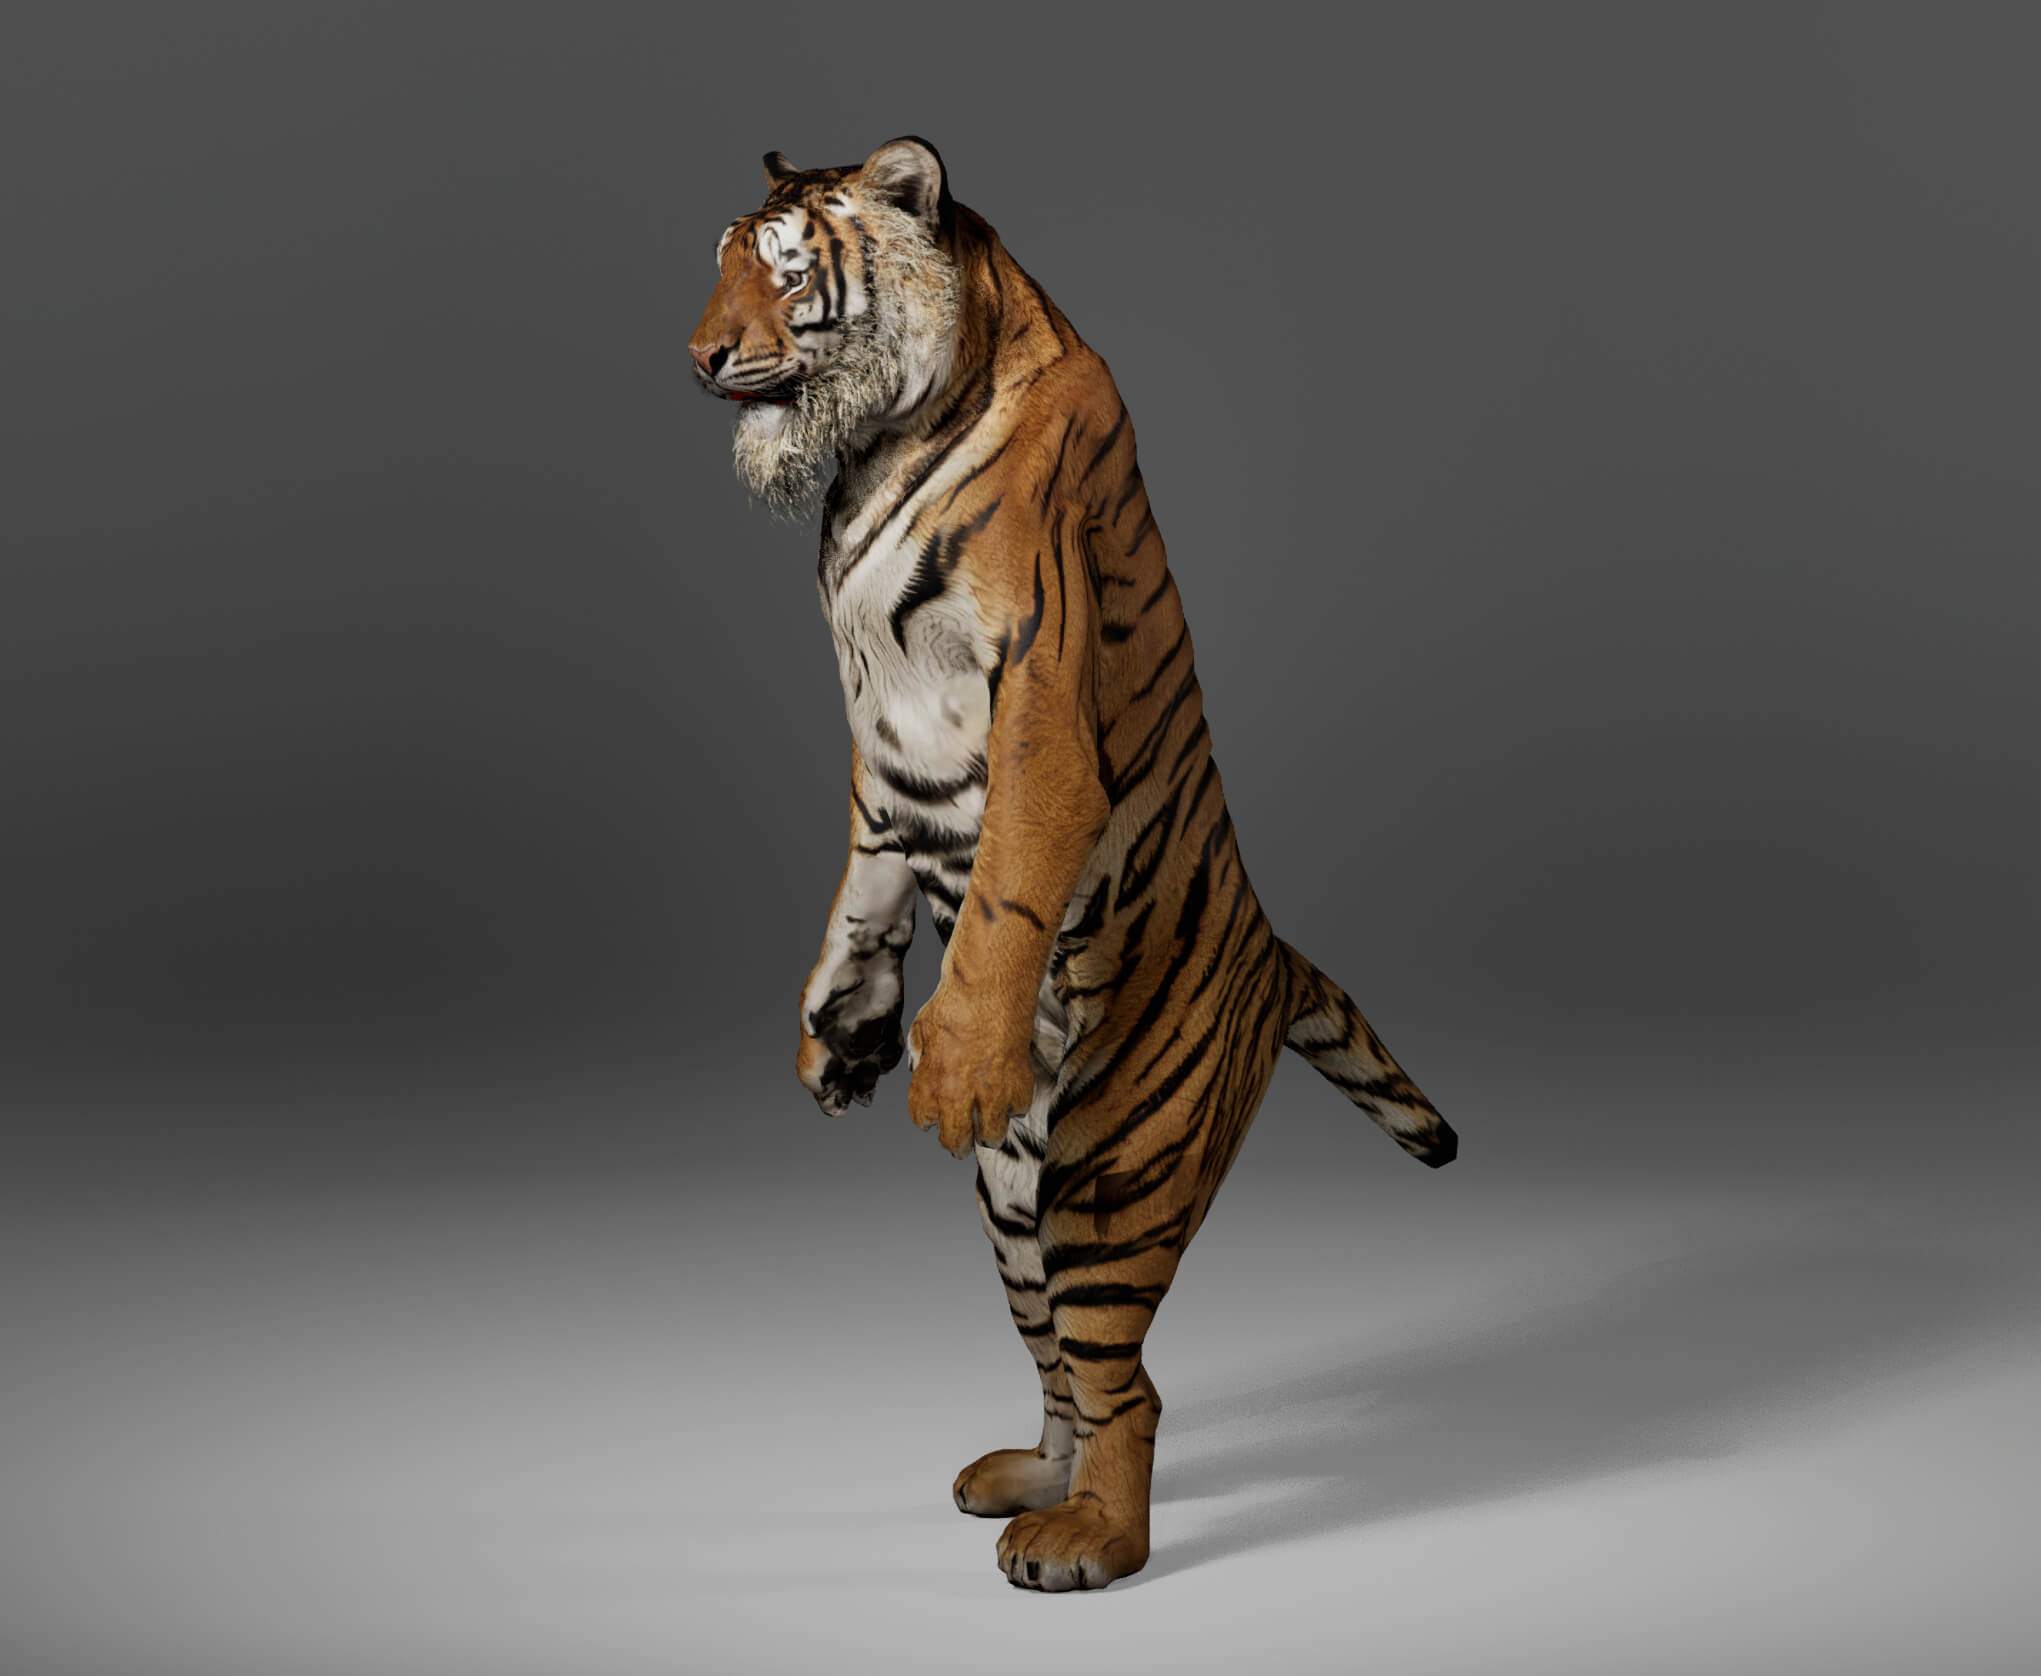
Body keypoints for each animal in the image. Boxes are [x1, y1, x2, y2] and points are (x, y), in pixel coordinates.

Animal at [689, 137, 1458, 1591]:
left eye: (786, 274)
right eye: (717, 267)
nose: (698, 354)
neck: (872, 449)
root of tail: (1275, 958)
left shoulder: (1039, 692)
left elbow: (998, 890)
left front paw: (950, 1049)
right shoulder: (878, 758)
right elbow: (869, 883)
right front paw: (840, 1036)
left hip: (1113, 1171)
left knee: (1132, 1382)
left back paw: (1088, 1540)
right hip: (1011, 1203)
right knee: (1063, 1362)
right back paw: (1027, 1479)